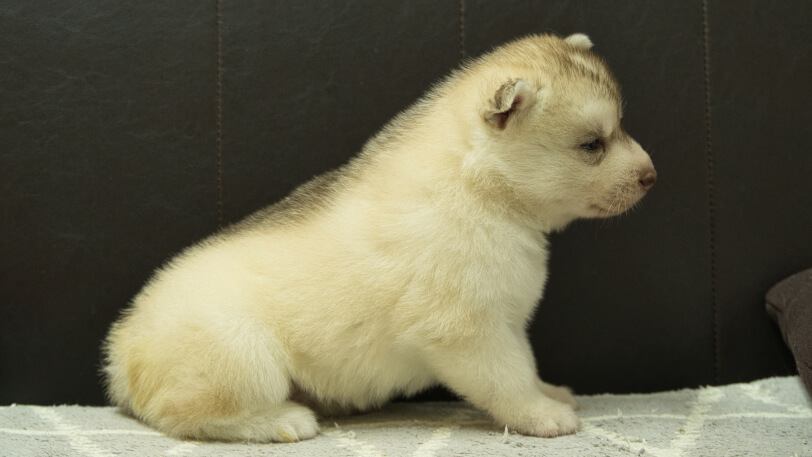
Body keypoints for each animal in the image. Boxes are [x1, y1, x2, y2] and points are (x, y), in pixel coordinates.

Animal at [103, 33, 660, 442]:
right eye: (592, 145)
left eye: (620, 128)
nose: (652, 176)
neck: (481, 189)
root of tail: (120, 350)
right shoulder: (469, 333)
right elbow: (507, 378)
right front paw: (541, 414)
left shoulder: (506, 321)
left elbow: (526, 364)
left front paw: (551, 392)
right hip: (241, 355)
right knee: (185, 415)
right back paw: (281, 420)